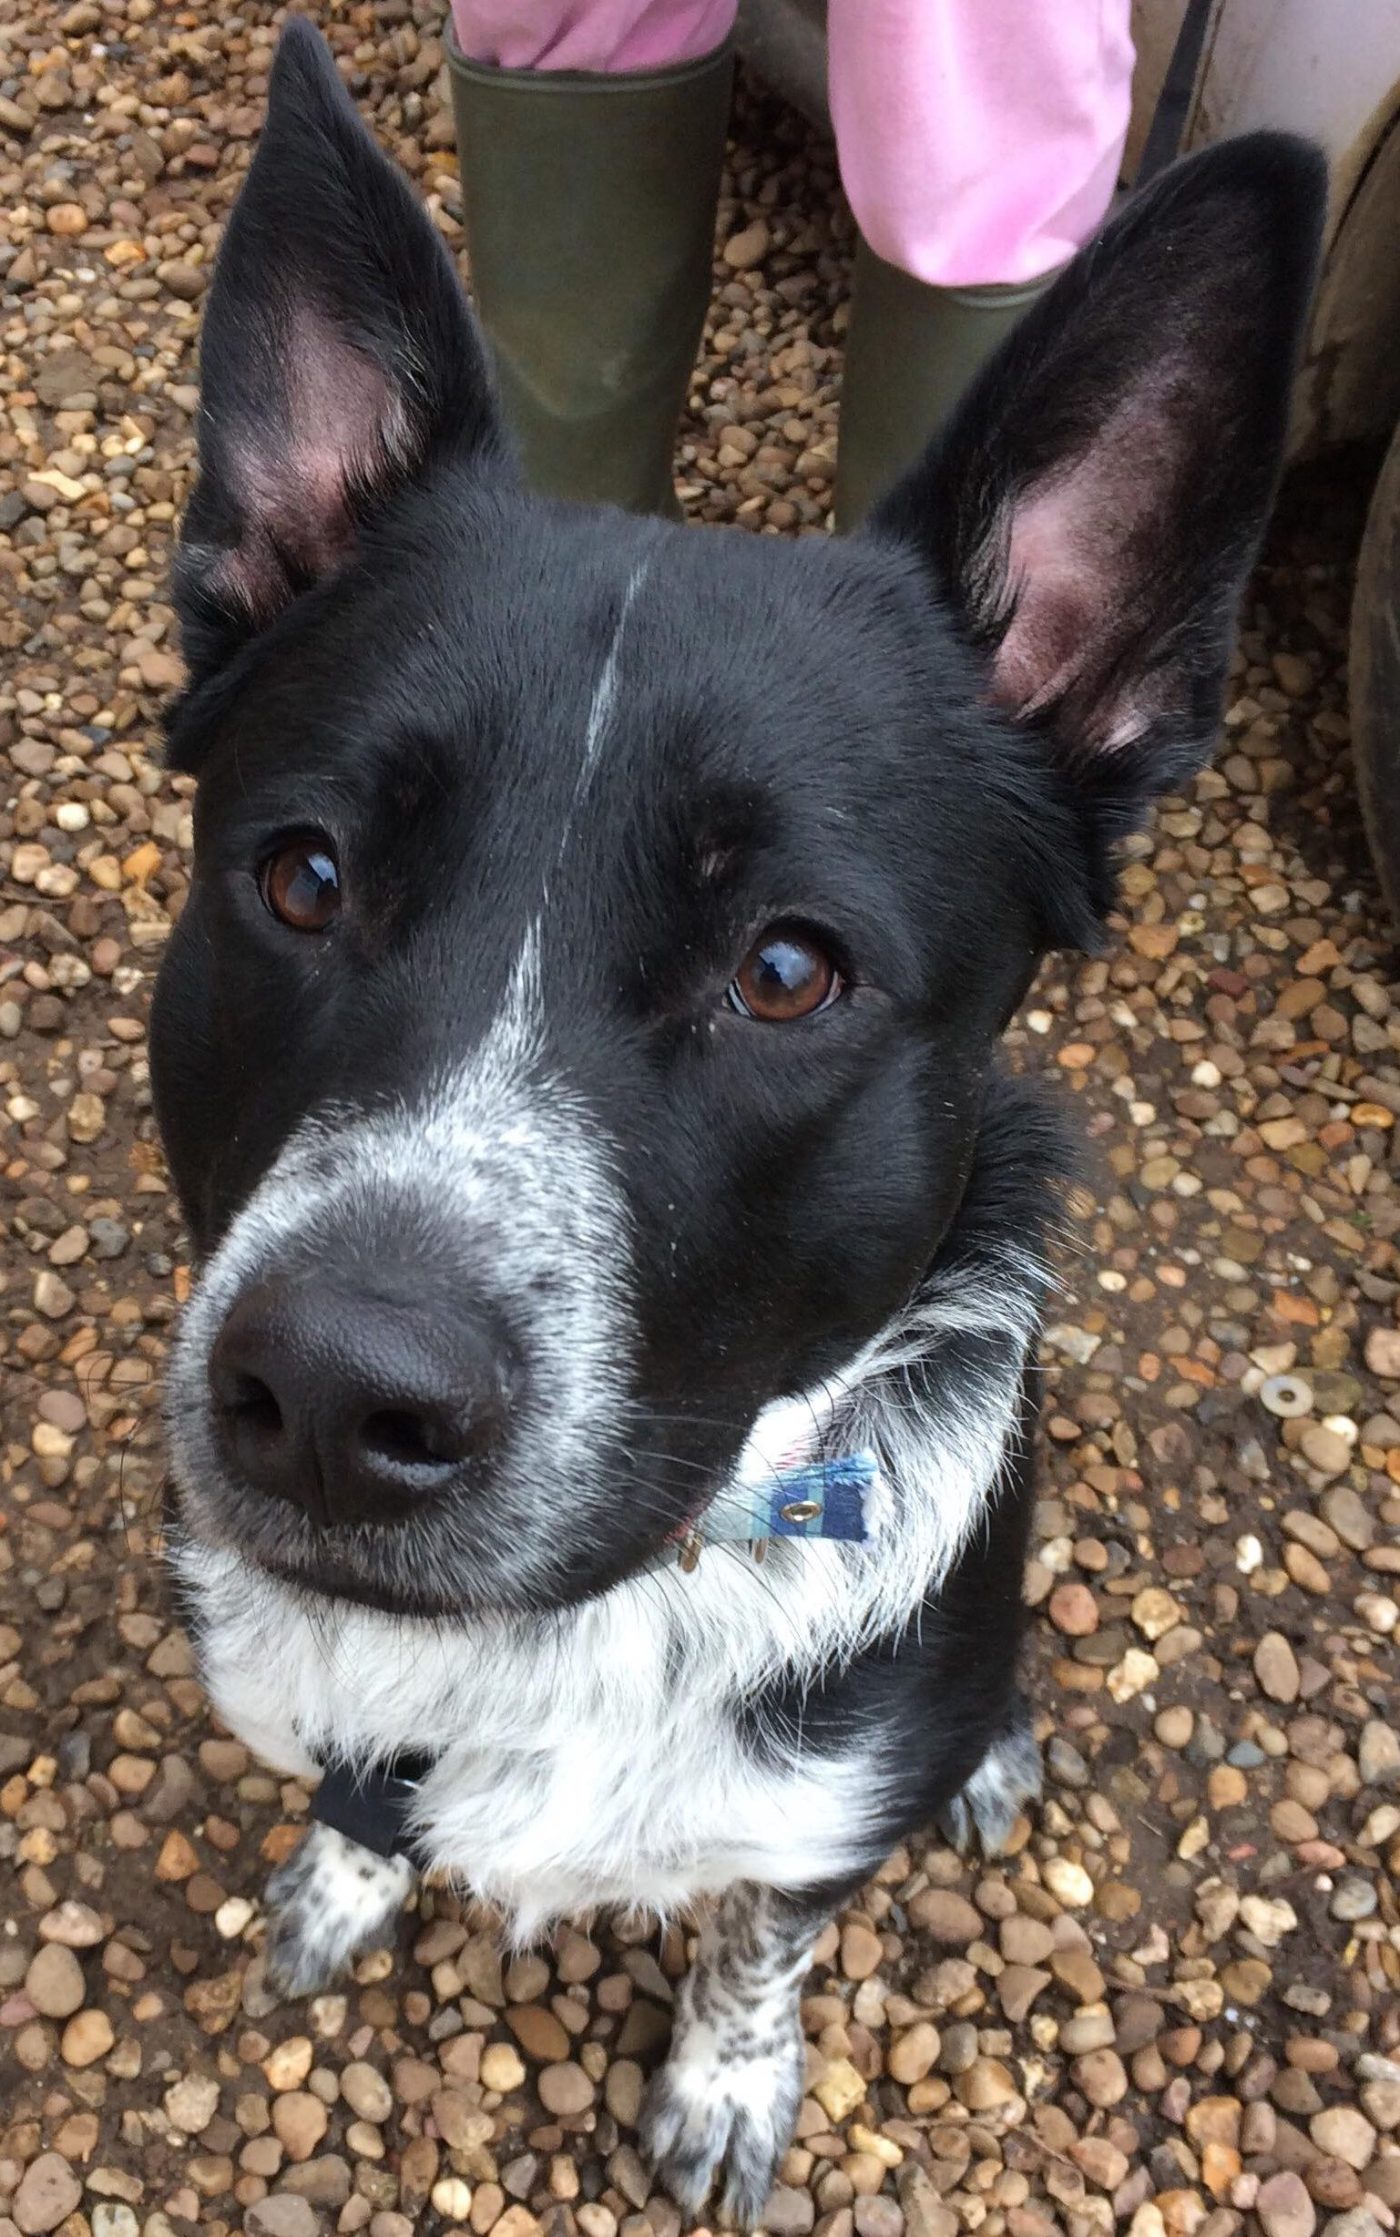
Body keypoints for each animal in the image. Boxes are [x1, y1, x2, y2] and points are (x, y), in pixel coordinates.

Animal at [150, 20, 1325, 2222]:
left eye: (787, 970)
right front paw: (345, 1873)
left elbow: (761, 1929)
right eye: (303, 876)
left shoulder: (814, 1813)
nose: (332, 1394)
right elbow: (358, 1788)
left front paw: (722, 2079)